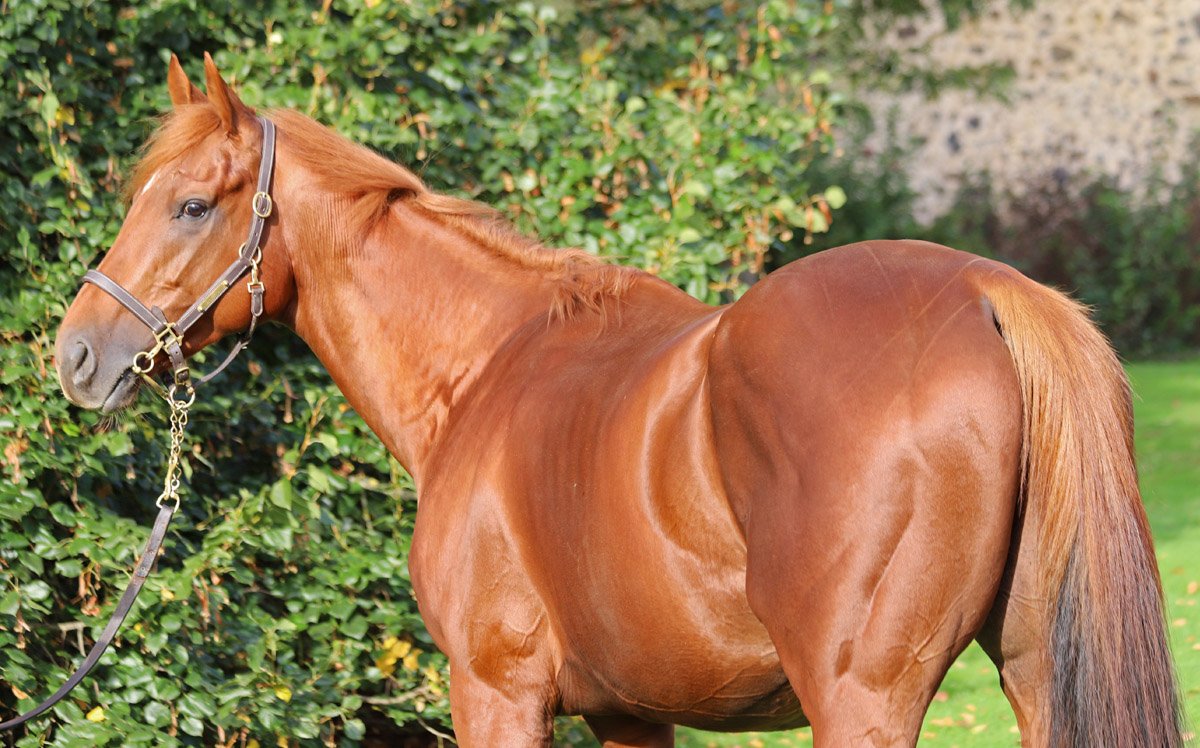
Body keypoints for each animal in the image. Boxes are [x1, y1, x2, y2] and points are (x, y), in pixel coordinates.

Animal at [54, 54, 1181, 747]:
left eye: (190, 204)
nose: (76, 354)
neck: (484, 368)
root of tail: (987, 291)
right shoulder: (630, 712)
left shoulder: (496, 690)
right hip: (1035, 674)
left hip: (861, 698)